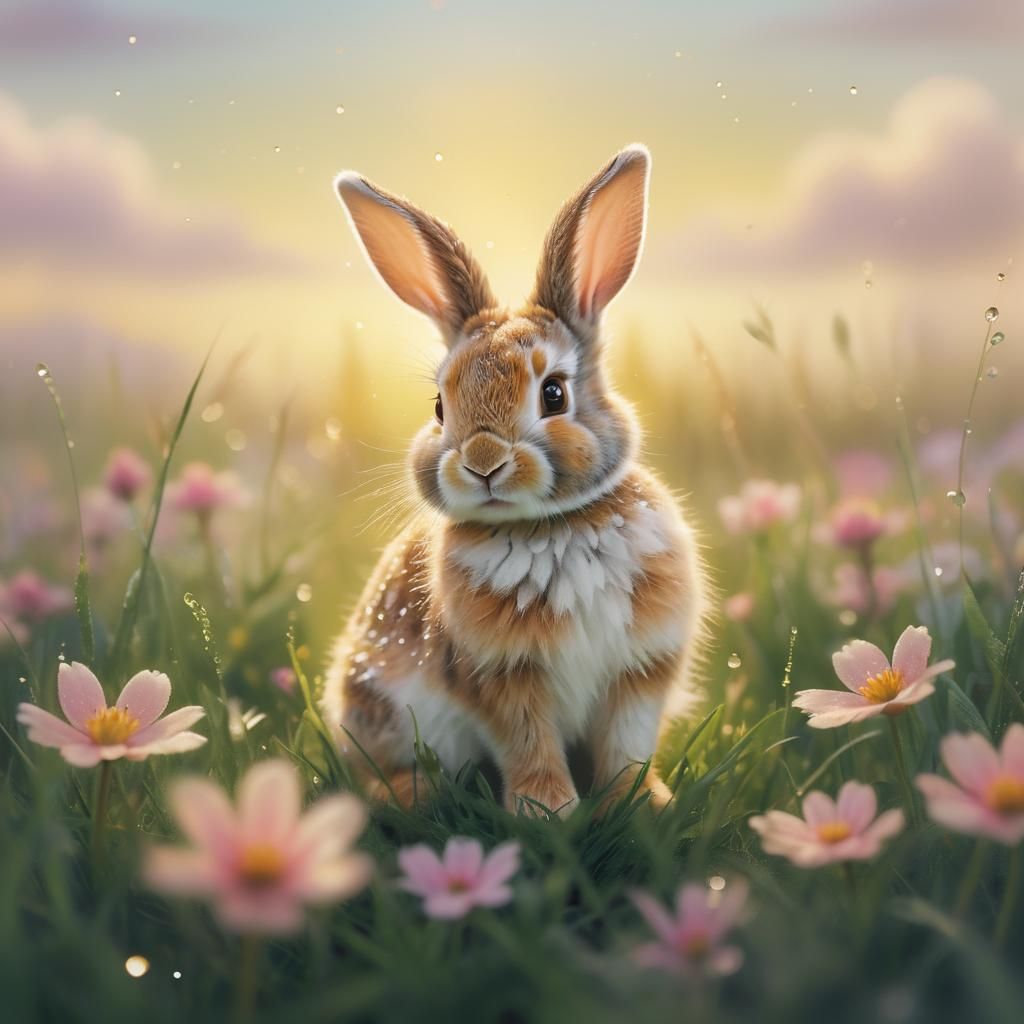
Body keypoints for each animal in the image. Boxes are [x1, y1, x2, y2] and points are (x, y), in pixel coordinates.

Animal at [323, 144, 708, 816]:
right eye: (439, 407)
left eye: (553, 393)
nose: (482, 463)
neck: (552, 526)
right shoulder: (501, 676)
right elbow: (528, 744)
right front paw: (548, 811)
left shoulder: (639, 670)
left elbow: (627, 745)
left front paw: (639, 805)